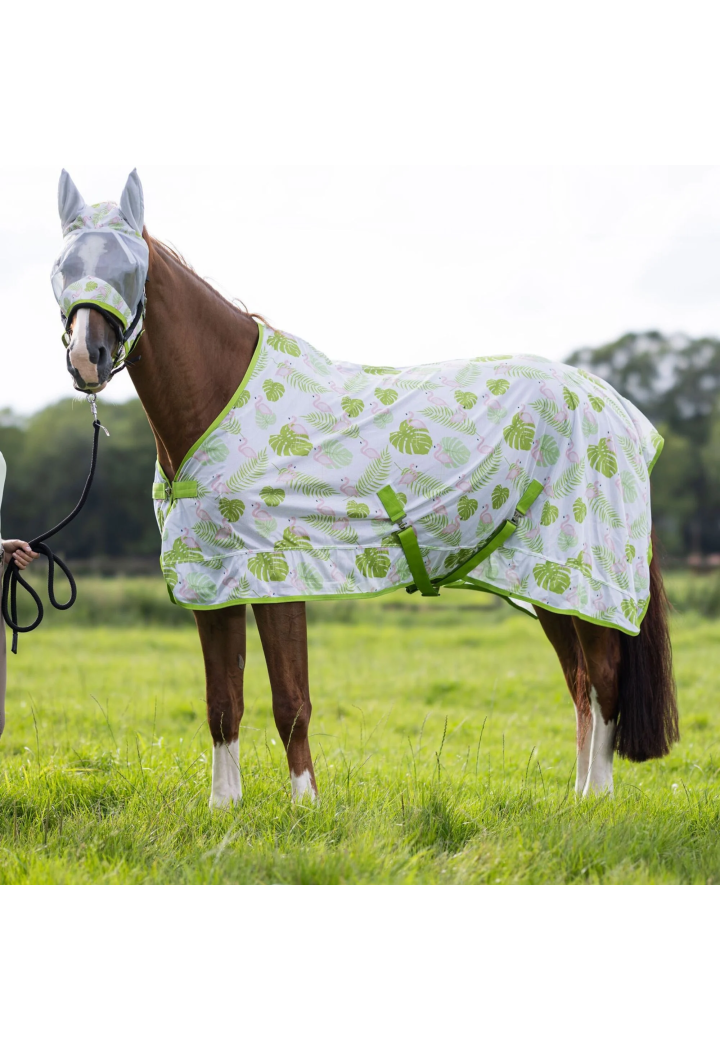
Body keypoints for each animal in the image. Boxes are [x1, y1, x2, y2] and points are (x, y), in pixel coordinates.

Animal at [52, 170, 679, 807]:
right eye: (61, 266)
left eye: (132, 267)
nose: (87, 357)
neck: (220, 399)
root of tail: (617, 409)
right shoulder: (212, 579)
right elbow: (223, 703)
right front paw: (224, 806)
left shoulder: (278, 571)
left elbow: (291, 704)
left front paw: (305, 805)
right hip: (542, 579)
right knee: (580, 682)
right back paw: (578, 795)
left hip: (586, 575)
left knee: (603, 678)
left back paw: (596, 797)